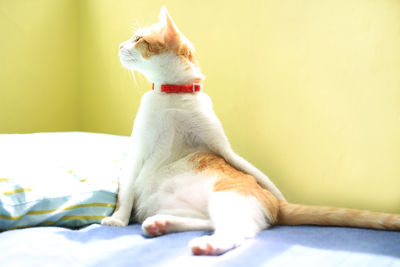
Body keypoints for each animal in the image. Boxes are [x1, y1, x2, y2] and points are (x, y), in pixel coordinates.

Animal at [101, 7, 398, 256]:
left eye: (137, 38)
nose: (119, 45)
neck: (174, 96)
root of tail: (276, 205)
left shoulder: (215, 145)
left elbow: (125, 191)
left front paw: (116, 219)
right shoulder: (141, 149)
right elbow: (126, 190)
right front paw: (120, 218)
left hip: (226, 196)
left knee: (237, 231)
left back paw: (208, 244)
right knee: (209, 220)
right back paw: (161, 223)